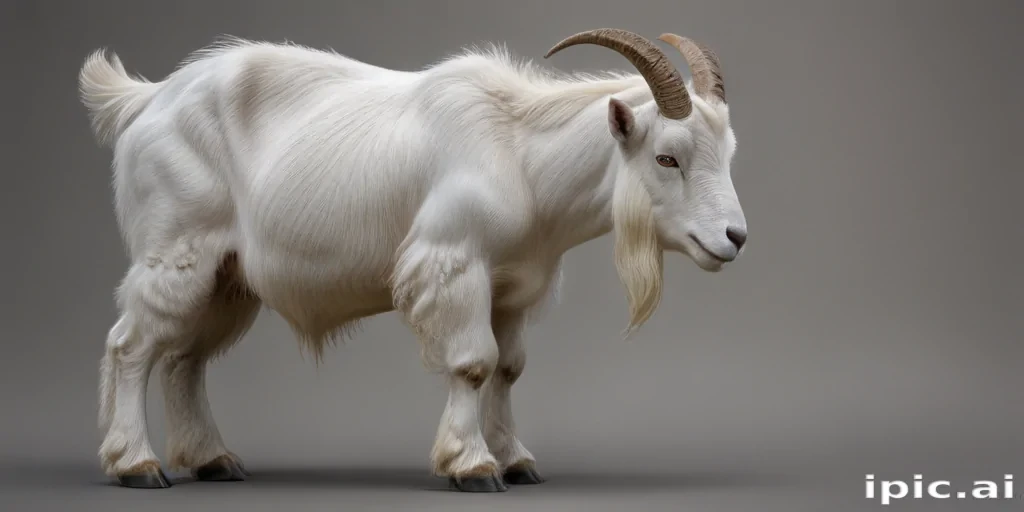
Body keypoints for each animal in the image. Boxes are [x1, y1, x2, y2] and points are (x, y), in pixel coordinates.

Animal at [79, 28, 747, 492]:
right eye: (667, 157)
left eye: (728, 152)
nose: (735, 237)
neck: (520, 154)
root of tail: (144, 101)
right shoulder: (452, 263)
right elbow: (474, 363)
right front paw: (472, 467)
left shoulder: (512, 287)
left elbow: (509, 369)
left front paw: (517, 460)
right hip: (176, 249)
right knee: (131, 346)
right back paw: (137, 464)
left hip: (226, 277)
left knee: (184, 359)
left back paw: (213, 460)